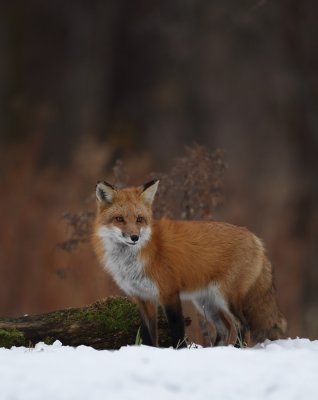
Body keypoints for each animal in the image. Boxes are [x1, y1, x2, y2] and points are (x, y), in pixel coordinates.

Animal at [92, 180, 288, 348]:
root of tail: (256, 239)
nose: (134, 237)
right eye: (119, 219)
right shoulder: (143, 298)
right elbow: (148, 336)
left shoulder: (169, 293)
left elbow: (177, 329)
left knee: (243, 324)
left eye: (139, 219)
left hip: (225, 297)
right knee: (225, 327)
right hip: (205, 301)